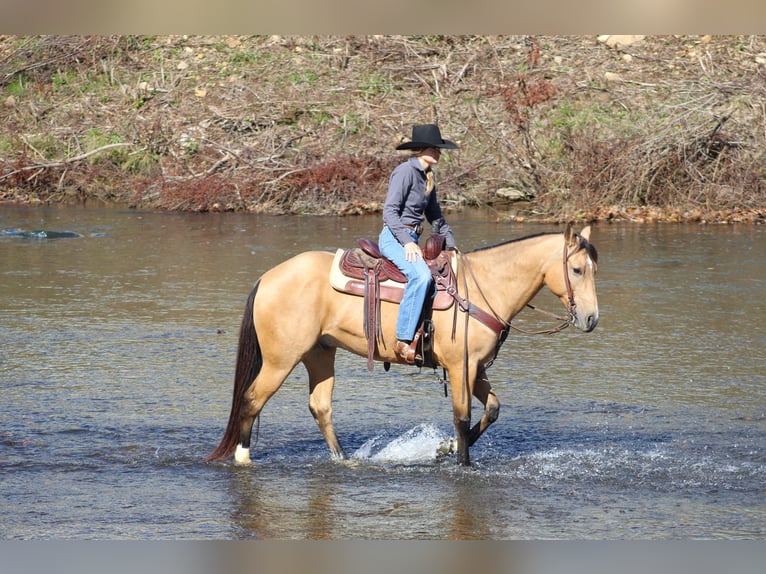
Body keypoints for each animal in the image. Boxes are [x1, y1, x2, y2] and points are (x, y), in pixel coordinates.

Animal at [208, 223, 600, 466]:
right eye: (577, 270)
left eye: (595, 269)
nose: (592, 319)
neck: (484, 288)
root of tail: (267, 277)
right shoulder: (460, 366)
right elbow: (462, 418)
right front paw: (462, 462)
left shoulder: (475, 368)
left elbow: (492, 409)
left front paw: (446, 448)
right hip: (281, 359)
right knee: (252, 399)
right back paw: (243, 457)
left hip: (319, 353)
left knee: (320, 407)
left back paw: (343, 460)